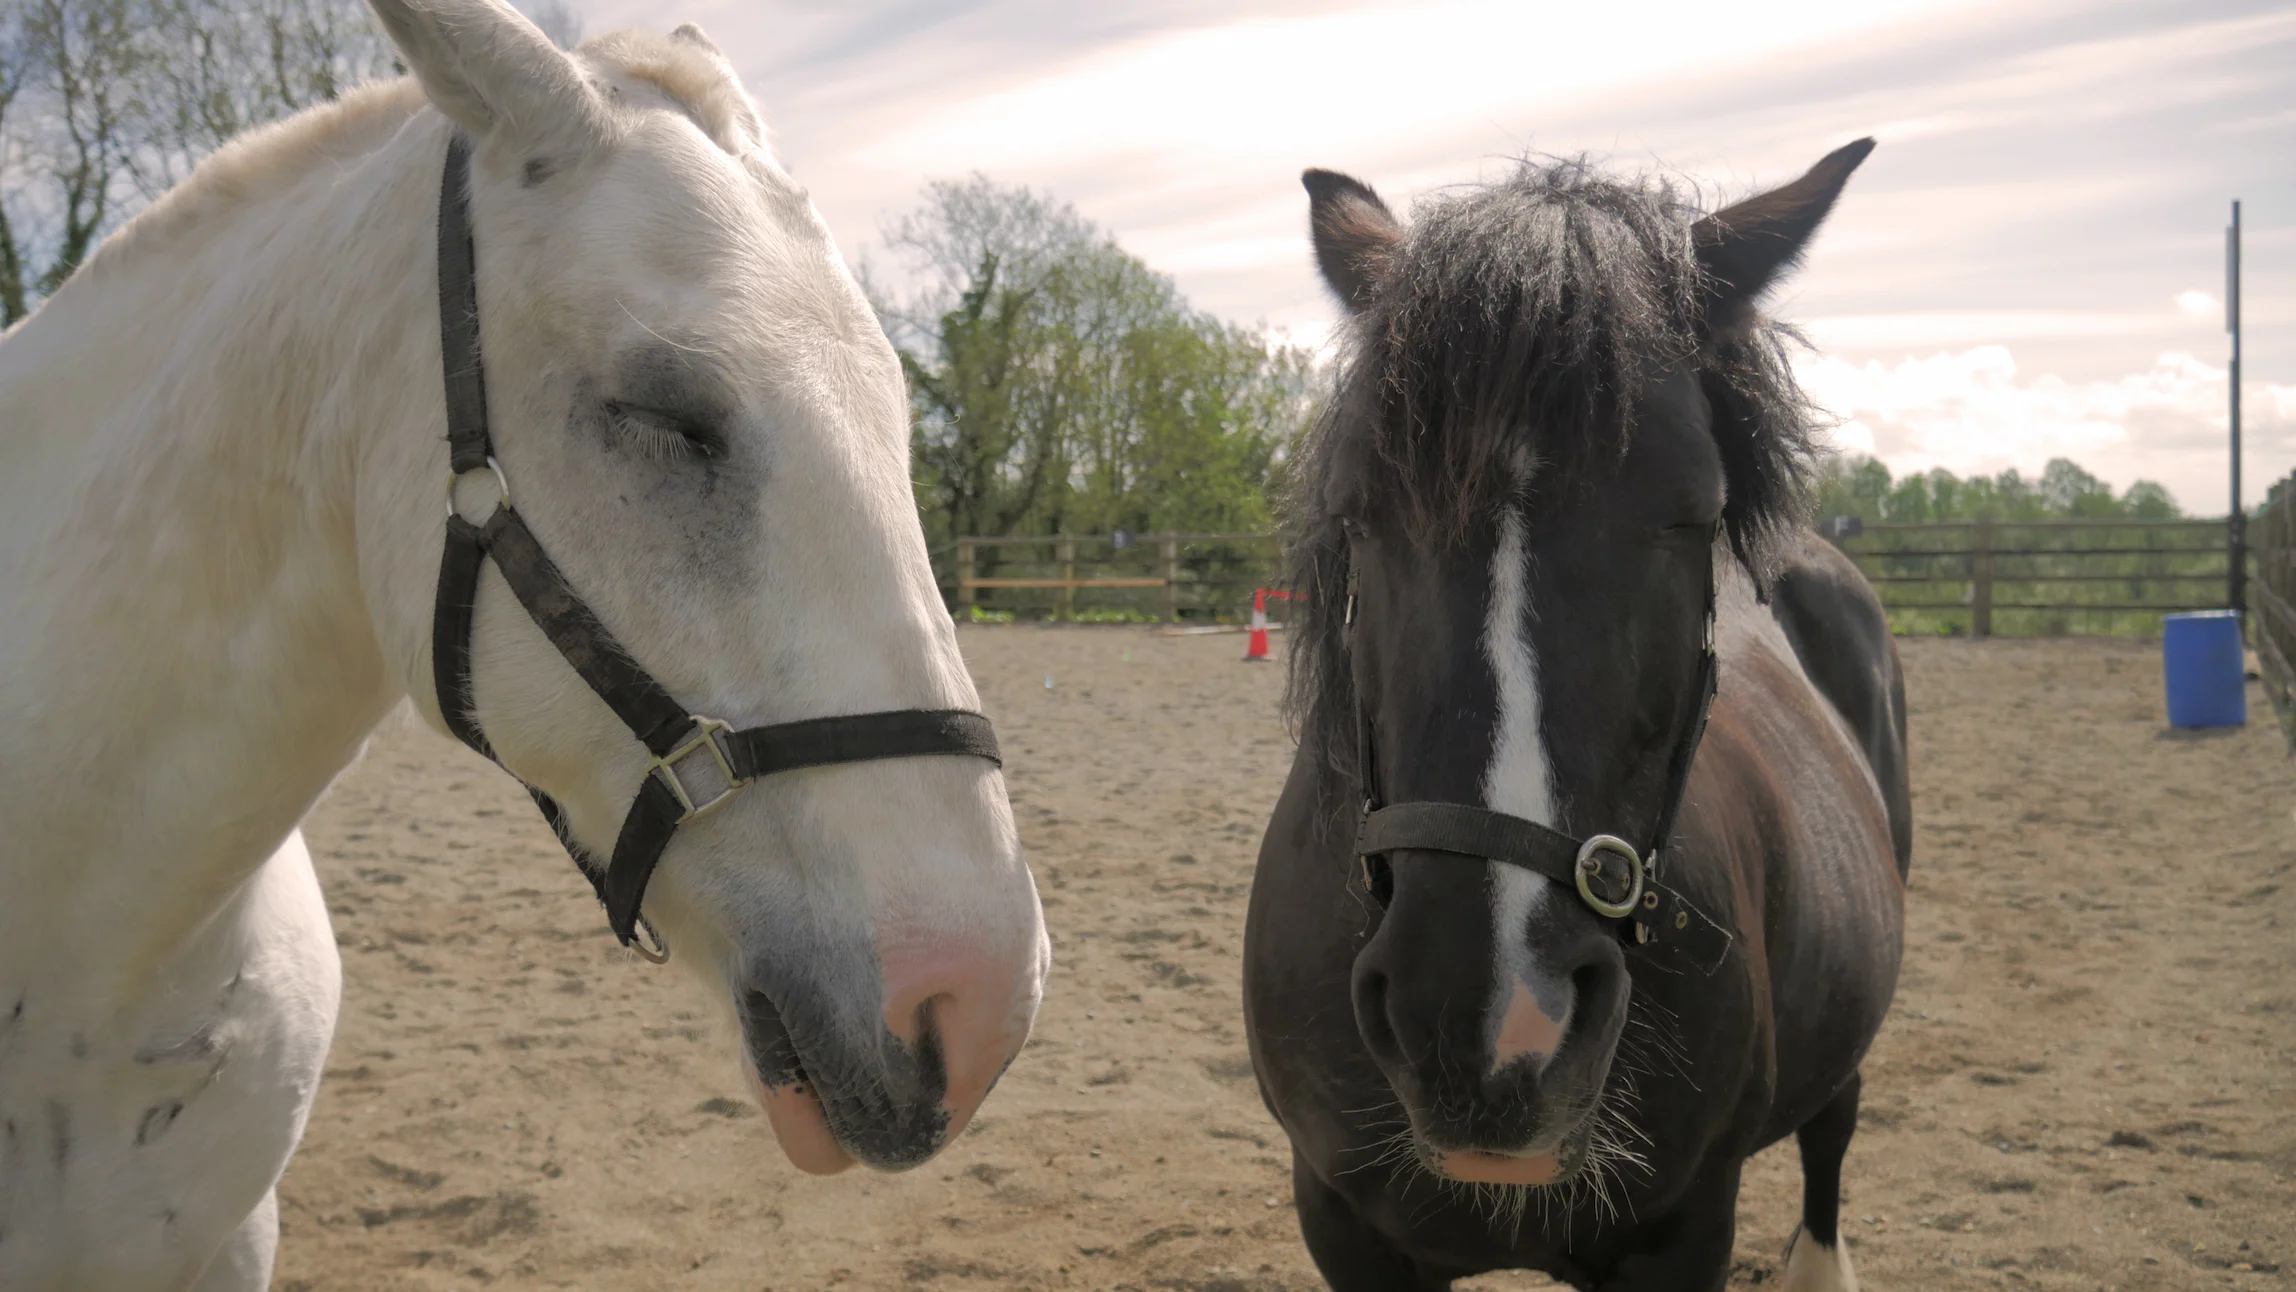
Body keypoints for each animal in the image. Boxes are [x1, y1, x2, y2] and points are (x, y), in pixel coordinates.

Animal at [1242, 142, 1911, 1292]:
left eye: (1693, 511)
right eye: (1360, 511)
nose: (1493, 1022)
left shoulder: (1686, 1228)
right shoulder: (1342, 1221)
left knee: (1833, 1129)